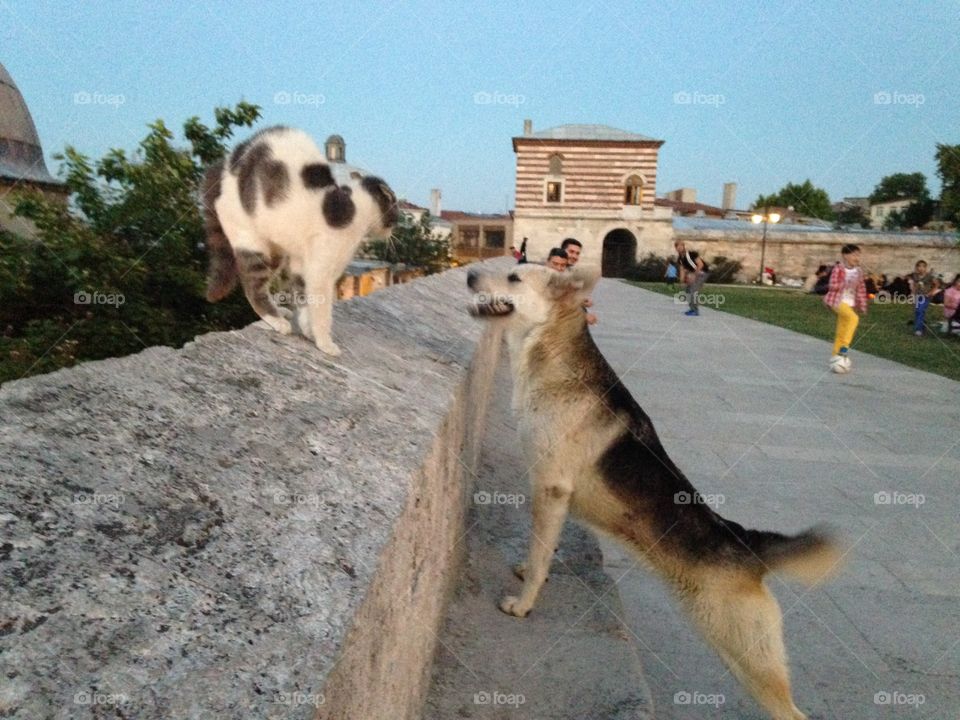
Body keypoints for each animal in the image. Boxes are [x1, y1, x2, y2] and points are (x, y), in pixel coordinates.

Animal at [202, 129, 398, 358]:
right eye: (395, 208)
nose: (396, 225)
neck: (354, 208)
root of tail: (227, 163)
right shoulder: (321, 272)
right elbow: (321, 310)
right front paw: (325, 343)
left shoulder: (301, 264)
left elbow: (304, 300)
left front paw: (307, 330)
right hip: (253, 241)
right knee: (253, 288)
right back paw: (277, 322)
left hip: (276, 249)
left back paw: (280, 312)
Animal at [468, 262, 844, 720]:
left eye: (514, 278)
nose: (468, 276)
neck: (551, 353)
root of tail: (747, 545)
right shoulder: (552, 496)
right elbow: (542, 548)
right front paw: (527, 570)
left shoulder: (550, 489)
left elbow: (541, 557)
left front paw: (523, 605)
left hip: (748, 655)